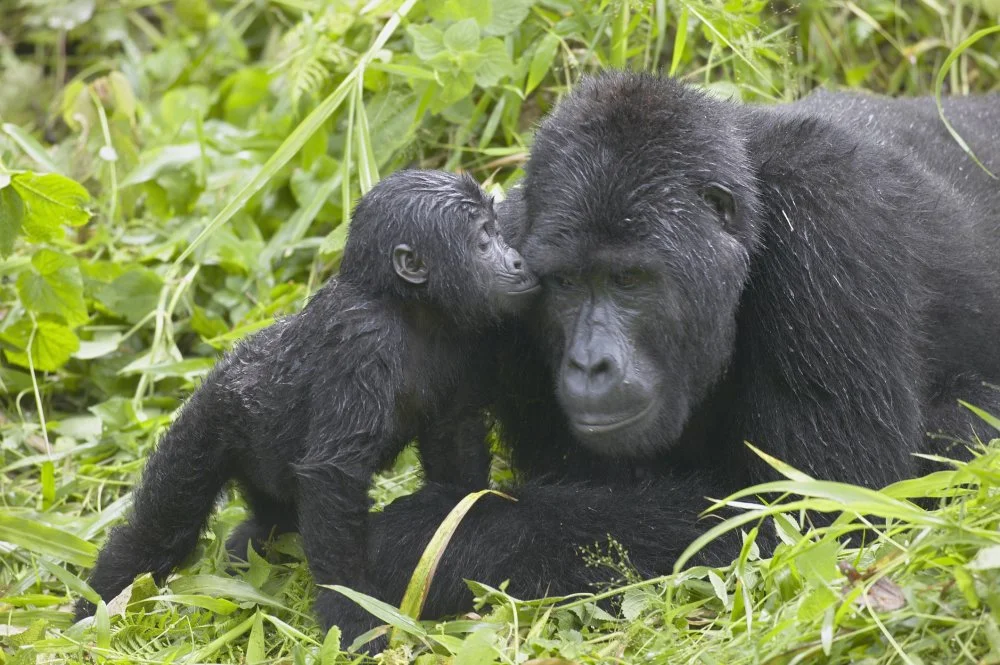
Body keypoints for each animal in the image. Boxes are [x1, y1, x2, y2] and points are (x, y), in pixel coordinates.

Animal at [76, 170, 540, 644]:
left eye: (498, 231)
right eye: (483, 240)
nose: (517, 261)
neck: (405, 305)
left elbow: (455, 441)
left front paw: (461, 526)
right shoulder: (362, 341)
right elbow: (334, 474)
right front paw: (352, 610)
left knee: (271, 520)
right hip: (208, 421)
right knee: (160, 529)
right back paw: (97, 608)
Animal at [368, 71, 1000, 616]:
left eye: (628, 280)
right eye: (565, 283)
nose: (590, 364)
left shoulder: (833, 220)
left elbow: (822, 514)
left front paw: (430, 536)